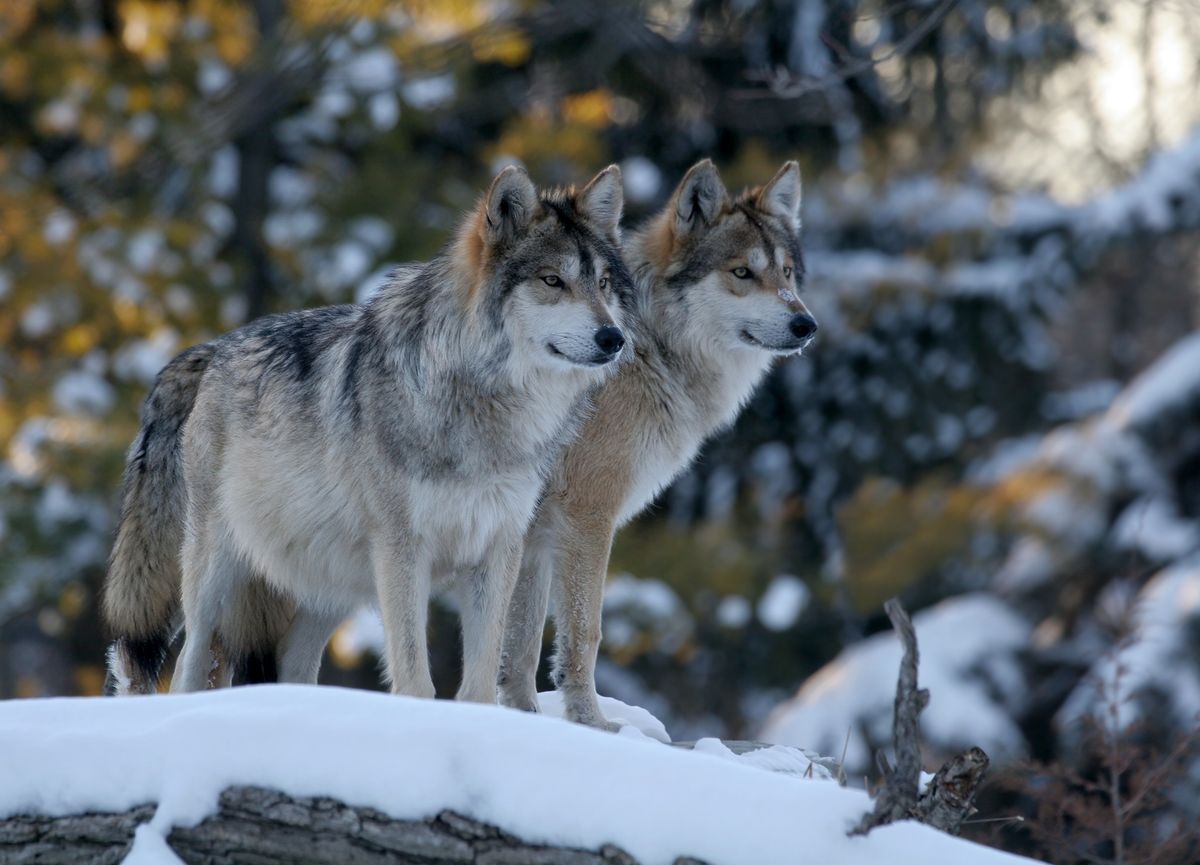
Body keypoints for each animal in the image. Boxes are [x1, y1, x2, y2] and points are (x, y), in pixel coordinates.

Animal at [104, 163, 633, 700]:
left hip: (327, 589)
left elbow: (480, 684)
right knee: (189, 663)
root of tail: (213, 349)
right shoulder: (402, 551)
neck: (485, 405)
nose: (614, 338)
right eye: (553, 281)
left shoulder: (498, 549)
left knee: (292, 668)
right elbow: (416, 680)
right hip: (217, 571)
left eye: (603, 283)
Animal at [494, 158, 816, 724]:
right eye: (742, 272)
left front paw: (525, 720)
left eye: (787, 274)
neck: (652, 350)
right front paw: (592, 724)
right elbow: (584, 634)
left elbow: (520, 648)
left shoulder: (534, 533)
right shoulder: (586, 515)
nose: (807, 324)